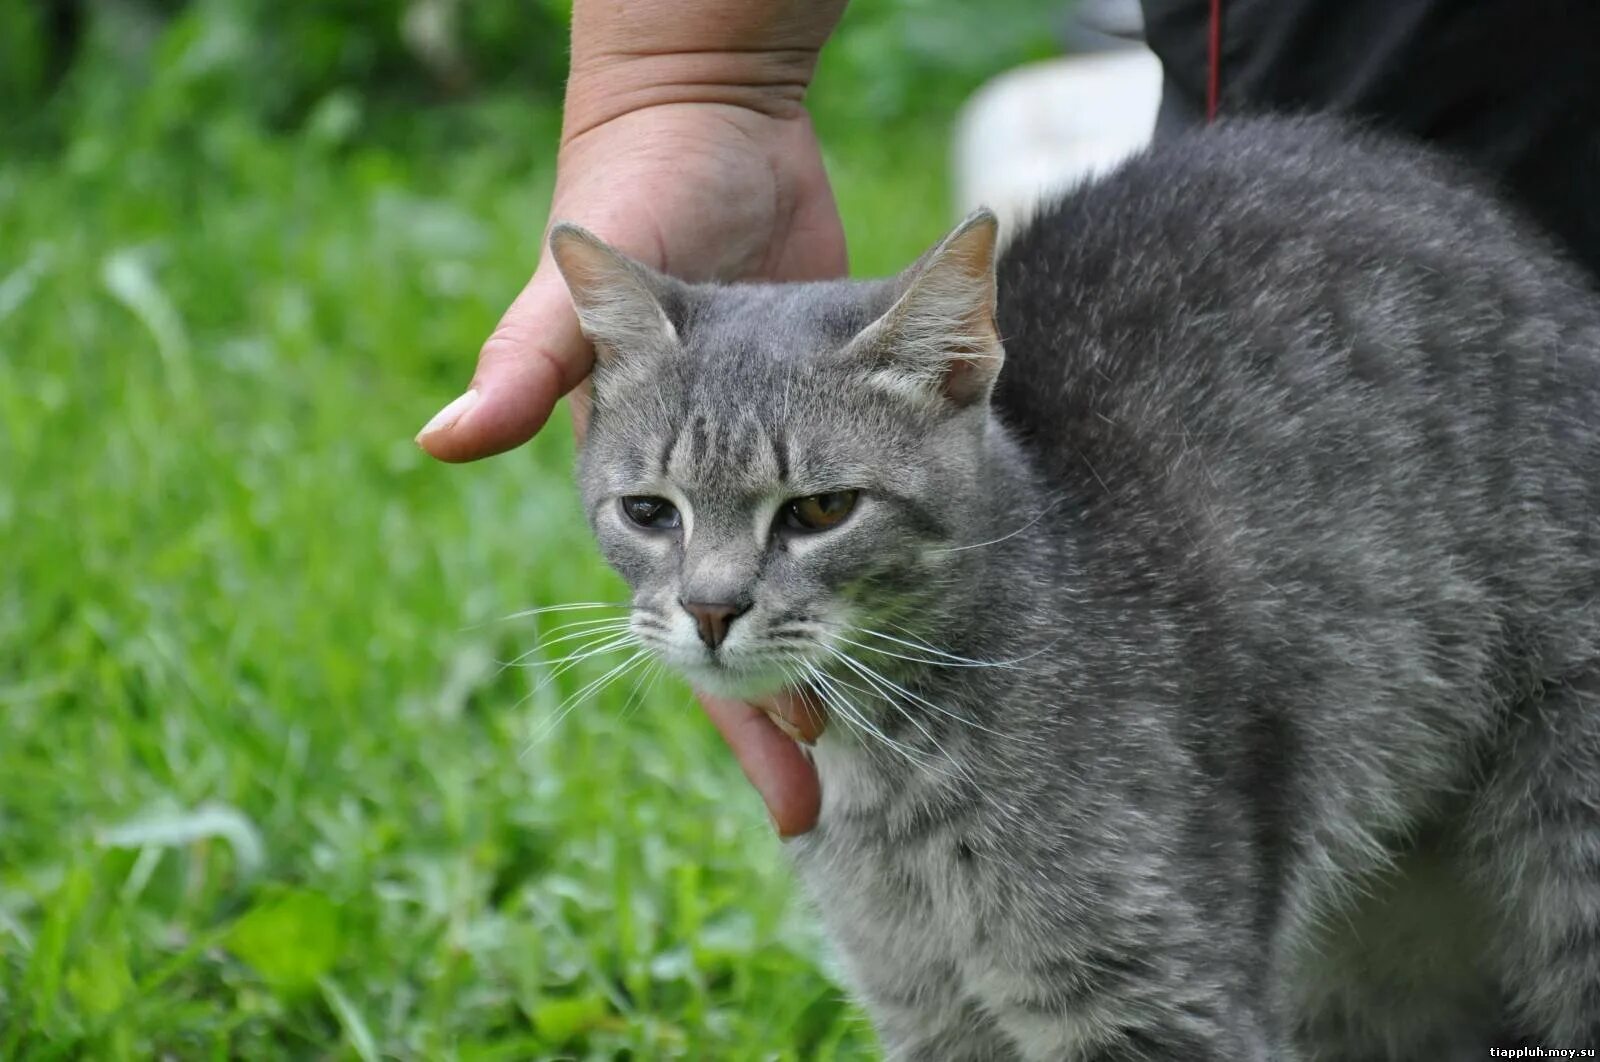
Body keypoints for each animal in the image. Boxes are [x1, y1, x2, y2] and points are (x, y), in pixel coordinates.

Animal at [547, 111, 1600, 1055]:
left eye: (820, 510)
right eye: (650, 513)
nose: (710, 607)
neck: (886, 778)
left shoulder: (1154, 996)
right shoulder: (926, 1007)